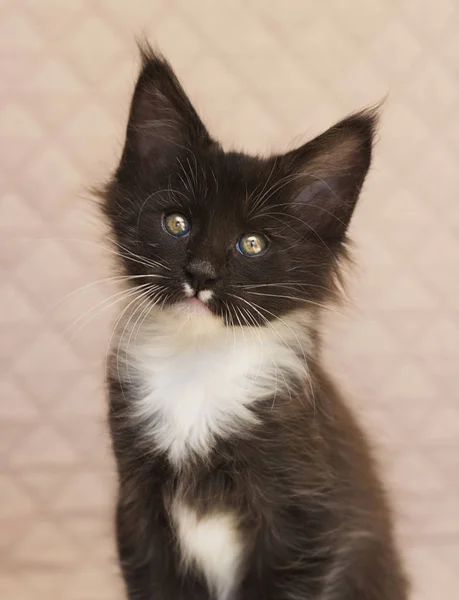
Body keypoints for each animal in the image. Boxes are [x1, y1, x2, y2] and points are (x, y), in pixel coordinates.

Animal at [101, 45, 410, 600]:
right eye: (176, 224)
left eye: (252, 244)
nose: (200, 275)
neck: (199, 371)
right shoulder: (137, 509)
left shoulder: (306, 519)